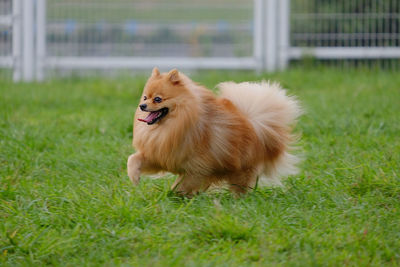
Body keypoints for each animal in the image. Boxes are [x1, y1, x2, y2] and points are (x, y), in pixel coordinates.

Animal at [127, 67, 300, 197]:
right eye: (145, 97)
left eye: (157, 99)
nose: (142, 106)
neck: (170, 127)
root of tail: (256, 124)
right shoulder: (161, 155)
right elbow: (133, 159)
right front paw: (134, 177)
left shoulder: (197, 167)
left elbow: (183, 184)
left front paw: (175, 195)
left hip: (241, 168)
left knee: (240, 187)